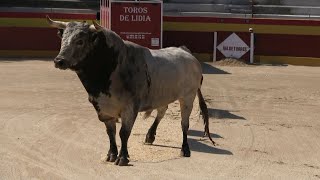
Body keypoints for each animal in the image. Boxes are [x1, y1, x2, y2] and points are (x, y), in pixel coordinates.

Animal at [45, 15, 215, 166]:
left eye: (80, 41)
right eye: (62, 38)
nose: (59, 61)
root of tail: (187, 53)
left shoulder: (130, 108)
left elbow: (124, 133)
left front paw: (123, 158)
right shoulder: (103, 108)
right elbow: (111, 132)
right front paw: (111, 154)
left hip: (188, 97)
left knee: (184, 124)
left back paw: (185, 149)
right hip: (162, 95)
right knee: (162, 111)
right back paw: (150, 136)